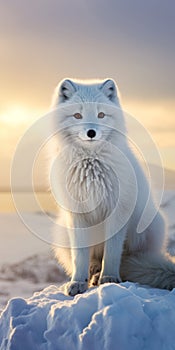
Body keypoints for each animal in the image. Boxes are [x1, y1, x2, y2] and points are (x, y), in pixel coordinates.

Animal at [49, 78, 175, 296]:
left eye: (101, 114)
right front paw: (78, 282)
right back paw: (92, 271)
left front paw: (109, 278)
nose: (91, 132)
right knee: (91, 258)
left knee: (127, 258)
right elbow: (79, 256)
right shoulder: (77, 214)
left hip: (147, 227)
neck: (91, 167)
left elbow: (113, 252)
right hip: (63, 231)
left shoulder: (118, 210)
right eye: (77, 115)